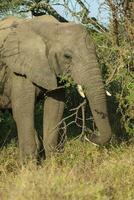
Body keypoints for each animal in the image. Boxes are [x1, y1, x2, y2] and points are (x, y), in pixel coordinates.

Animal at [0, 14, 112, 161]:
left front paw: (53, 161)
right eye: (67, 56)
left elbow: (56, 105)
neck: (52, 28)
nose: (90, 136)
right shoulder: (19, 69)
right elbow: (23, 108)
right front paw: (30, 166)